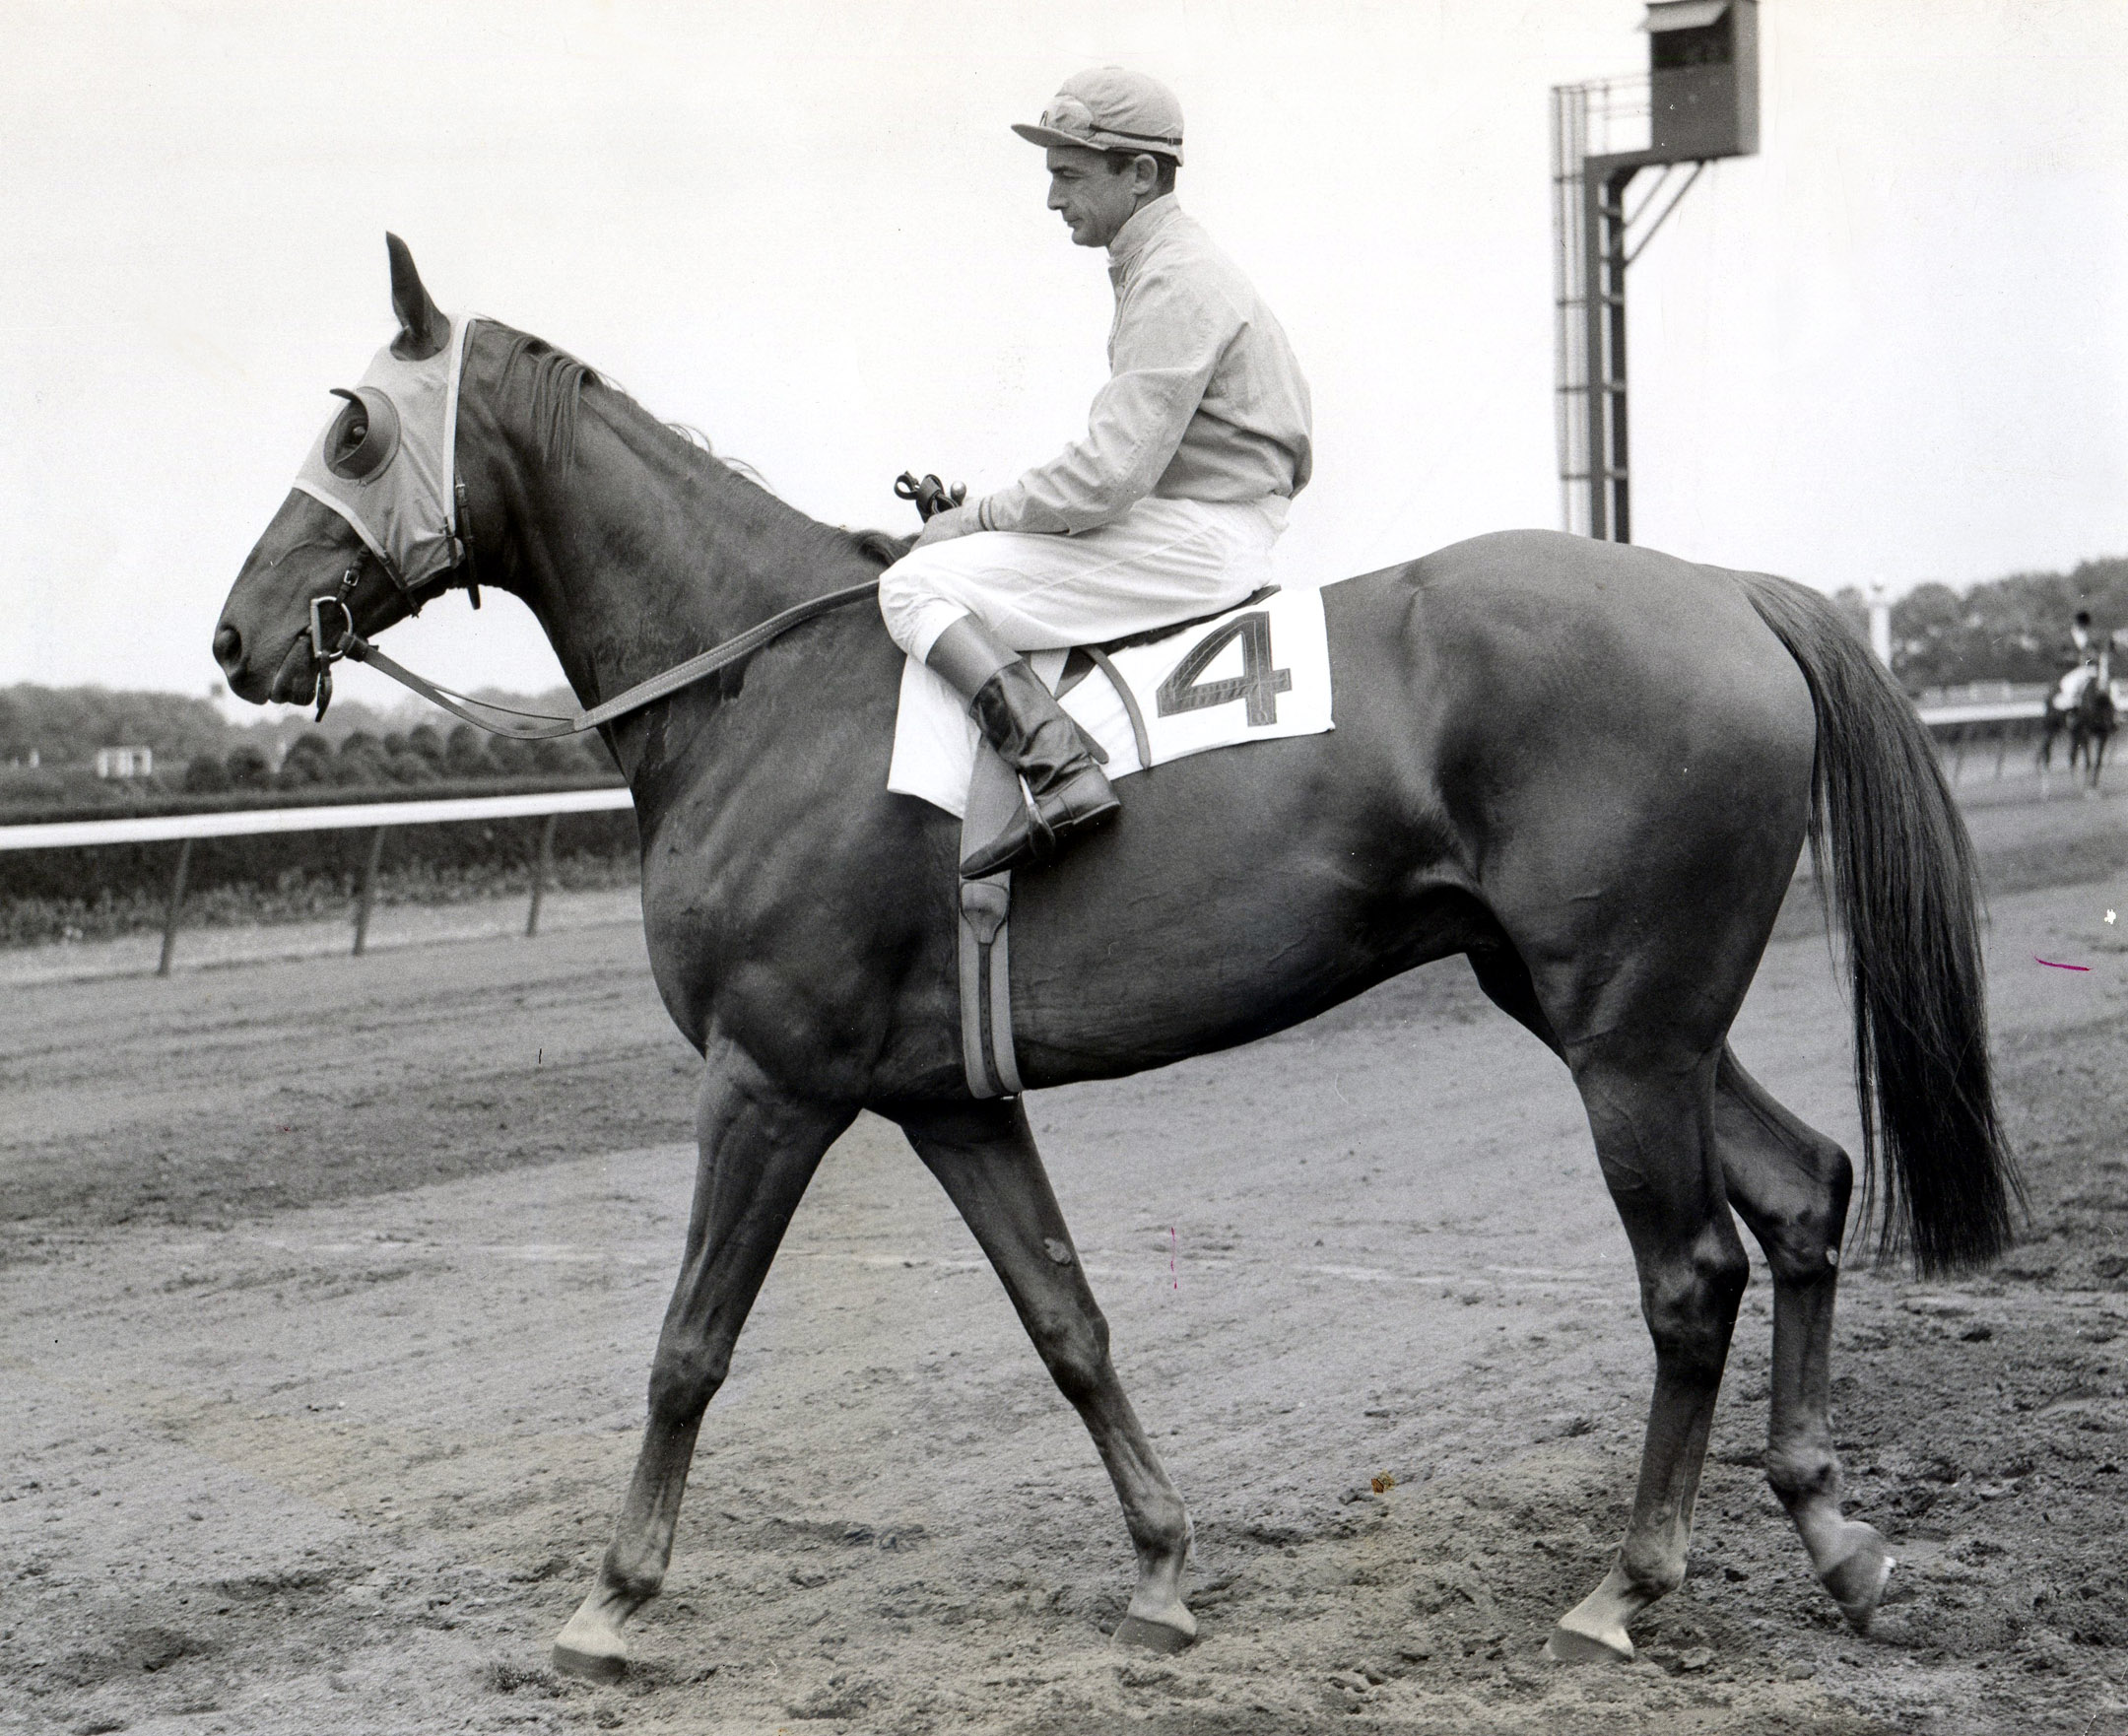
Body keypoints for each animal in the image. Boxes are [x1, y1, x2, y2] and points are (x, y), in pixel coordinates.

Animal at [207, 240, 2017, 1685]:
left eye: (350, 425)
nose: (236, 635)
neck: (762, 691)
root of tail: (1729, 591)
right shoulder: (948, 1096)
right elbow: (1066, 1320)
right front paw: (1160, 1567)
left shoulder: (770, 1078)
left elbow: (687, 1342)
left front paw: (613, 1597)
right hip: (1623, 1011)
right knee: (1804, 1188)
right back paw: (1836, 1536)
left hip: (1624, 1032)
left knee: (1694, 1272)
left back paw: (1626, 1591)